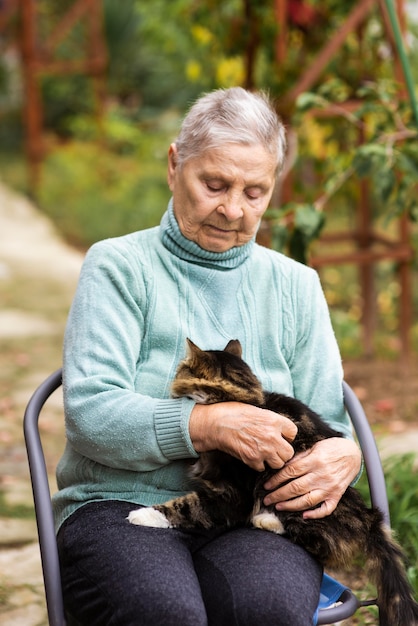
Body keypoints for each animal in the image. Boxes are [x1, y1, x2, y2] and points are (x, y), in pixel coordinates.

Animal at [129, 338, 418, 620]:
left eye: (181, 370)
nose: (172, 381)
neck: (239, 396)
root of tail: (369, 517)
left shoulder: (232, 496)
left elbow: (186, 507)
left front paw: (144, 515)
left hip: (295, 499)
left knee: (319, 544)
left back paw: (266, 520)